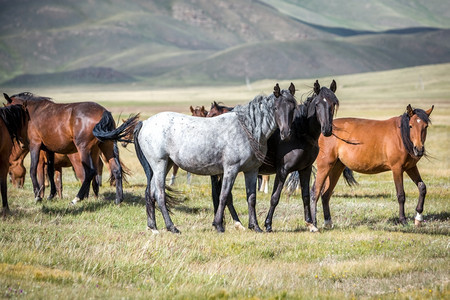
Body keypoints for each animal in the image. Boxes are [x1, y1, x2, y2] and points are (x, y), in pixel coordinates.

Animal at [3, 92, 139, 205]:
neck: (31, 113)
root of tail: (103, 112)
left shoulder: (35, 146)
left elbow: (33, 170)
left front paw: (38, 196)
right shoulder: (49, 150)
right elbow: (51, 172)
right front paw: (51, 195)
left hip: (83, 149)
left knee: (90, 172)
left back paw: (77, 198)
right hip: (106, 146)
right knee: (116, 169)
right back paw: (118, 200)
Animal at [133, 83, 298, 233]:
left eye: (293, 107)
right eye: (275, 108)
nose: (286, 133)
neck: (247, 128)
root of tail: (144, 123)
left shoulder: (251, 171)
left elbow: (251, 198)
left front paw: (255, 227)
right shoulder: (230, 169)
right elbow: (223, 196)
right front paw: (219, 225)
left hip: (166, 165)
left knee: (151, 193)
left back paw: (153, 227)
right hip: (159, 165)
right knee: (159, 194)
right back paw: (172, 227)